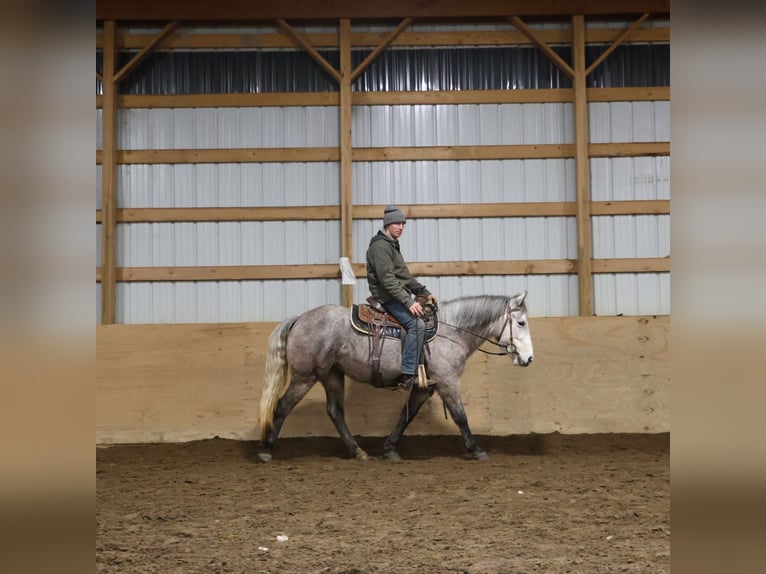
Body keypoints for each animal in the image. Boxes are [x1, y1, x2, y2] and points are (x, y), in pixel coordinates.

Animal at [257, 291, 533, 462]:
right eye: (520, 323)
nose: (528, 358)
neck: (451, 332)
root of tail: (299, 319)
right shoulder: (448, 382)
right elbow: (460, 417)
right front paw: (476, 450)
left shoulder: (425, 387)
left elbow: (405, 416)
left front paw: (390, 449)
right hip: (305, 376)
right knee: (282, 406)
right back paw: (266, 450)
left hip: (331, 375)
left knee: (335, 412)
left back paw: (358, 452)